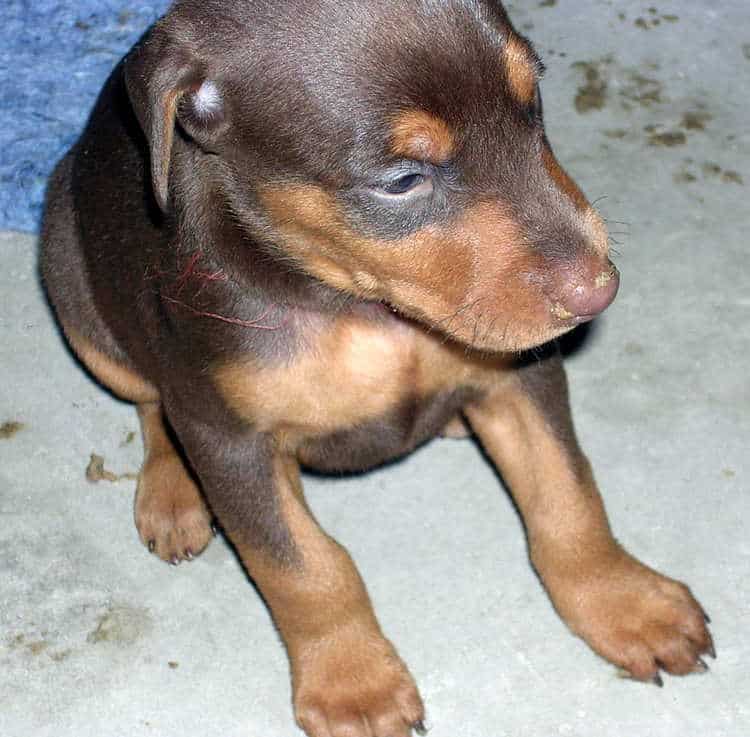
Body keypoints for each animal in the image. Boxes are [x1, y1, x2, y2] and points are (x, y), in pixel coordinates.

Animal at [41, 1, 716, 736]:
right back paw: (171, 493)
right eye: (401, 180)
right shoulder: (231, 440)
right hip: (78, 296)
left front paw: (627, 602)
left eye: (532, 103)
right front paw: (354, 685)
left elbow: (569, 495)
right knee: (151, 402)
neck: (360, 303)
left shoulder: (519, 372)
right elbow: (305, 569)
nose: (599, 291)